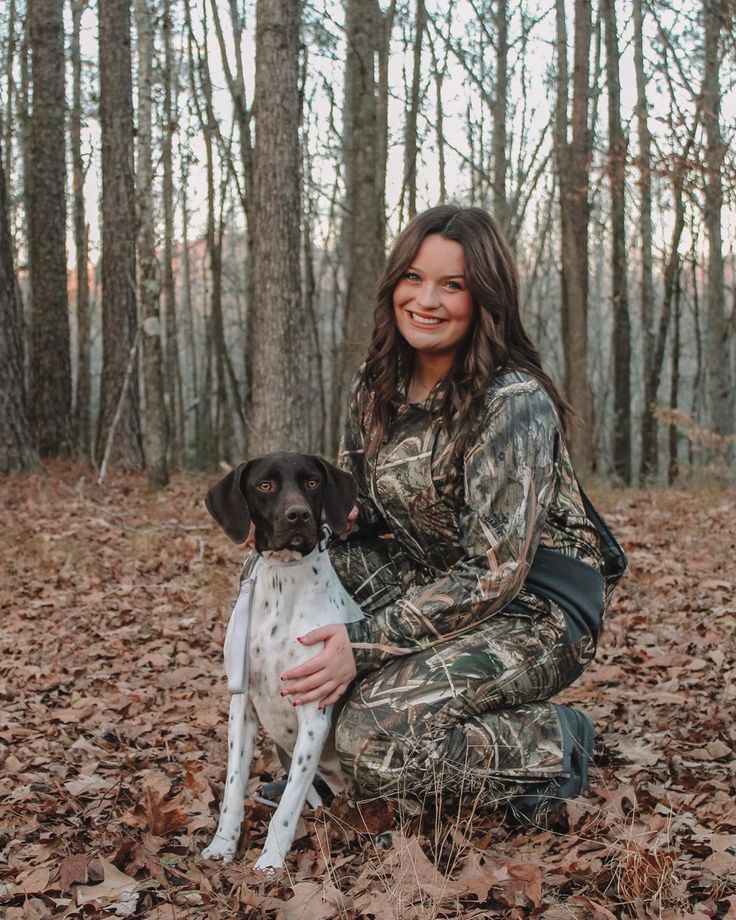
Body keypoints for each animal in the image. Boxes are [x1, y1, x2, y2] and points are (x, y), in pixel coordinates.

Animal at [200, 452, 364, 868]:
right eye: (265, 485)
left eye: (312, 482)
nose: (298, 515)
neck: (284, 581)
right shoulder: (241, 706)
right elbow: (233, 787)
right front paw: (223, 845)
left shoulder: (314, 709)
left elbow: (288, 804)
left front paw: (270, 860)